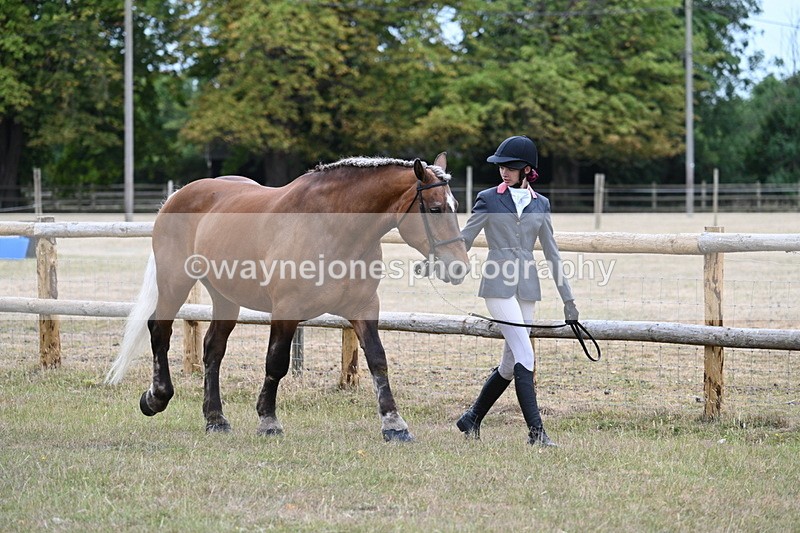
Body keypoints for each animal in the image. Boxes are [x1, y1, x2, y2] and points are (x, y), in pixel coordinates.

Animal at [106, 153, 469, 442]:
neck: (332, 227)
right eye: (435, 209)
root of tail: (178, 195)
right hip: (174, 283)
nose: (458, 267)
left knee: (213, 350)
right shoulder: (287, 310)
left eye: (455, 207)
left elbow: (378, 360)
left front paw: (394, 424)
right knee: (160, 332)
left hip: (226, 298)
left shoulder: (364, 308)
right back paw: (156, 397)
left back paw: (216, 419)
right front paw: (268, 420)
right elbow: (276, 363)